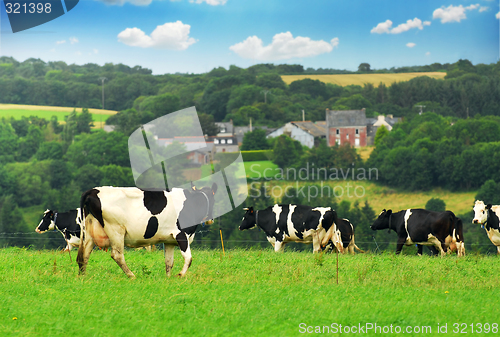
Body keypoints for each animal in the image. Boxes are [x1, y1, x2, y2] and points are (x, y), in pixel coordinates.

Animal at [77, 182, 216, 276]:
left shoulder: (169, 241)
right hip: (115, 230)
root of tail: (92, 191)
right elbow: (188, 258)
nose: (211, 220)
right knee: (117, 255)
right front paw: (180, 275)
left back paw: (83, 277)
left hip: (89, 231)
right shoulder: (181, 234)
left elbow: (169, 262)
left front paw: (168, 278)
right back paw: (131, 275)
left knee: (84, 255)